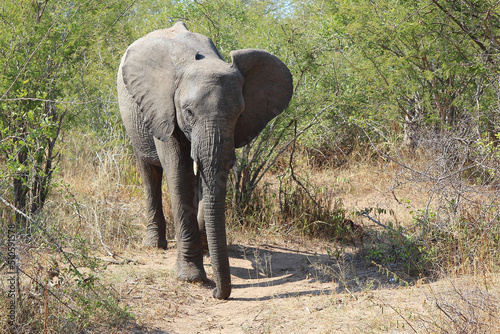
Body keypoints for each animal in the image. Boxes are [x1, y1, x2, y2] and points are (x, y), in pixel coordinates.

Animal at [117, 23, 292, 300]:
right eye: (188, 112)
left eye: (239, 114)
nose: (217, 293)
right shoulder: (165, 109)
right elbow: (179, 174)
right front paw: (191, 278)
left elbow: (205, 180)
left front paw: (204, 251)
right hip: (135, 118)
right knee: (149, 171)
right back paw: (155, 244)